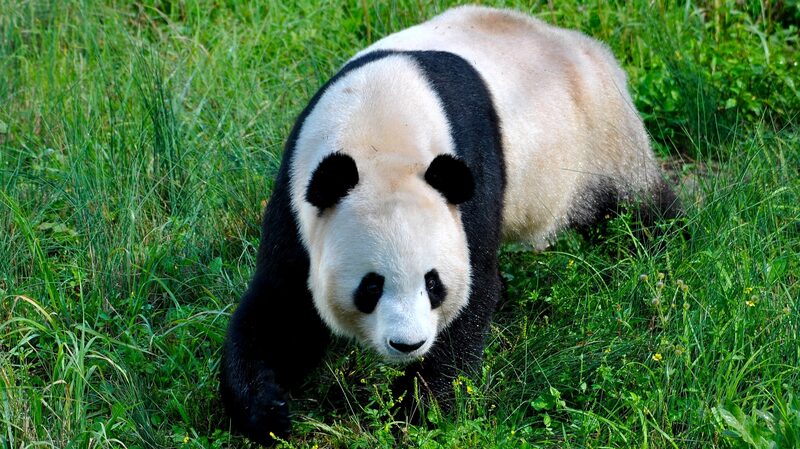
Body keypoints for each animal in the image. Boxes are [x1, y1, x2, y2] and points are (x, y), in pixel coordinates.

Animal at [220, 5, 681, 444]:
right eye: (371, 286)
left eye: (433, 283)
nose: (408, 344)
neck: (377, 127)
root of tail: (585, 45)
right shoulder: (300, 195)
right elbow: (282, 306)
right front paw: (268, 412)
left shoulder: (469, 180)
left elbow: (473, 291)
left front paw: (417, 412)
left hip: (598, 141)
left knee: (634, 206)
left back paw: (667, 245)